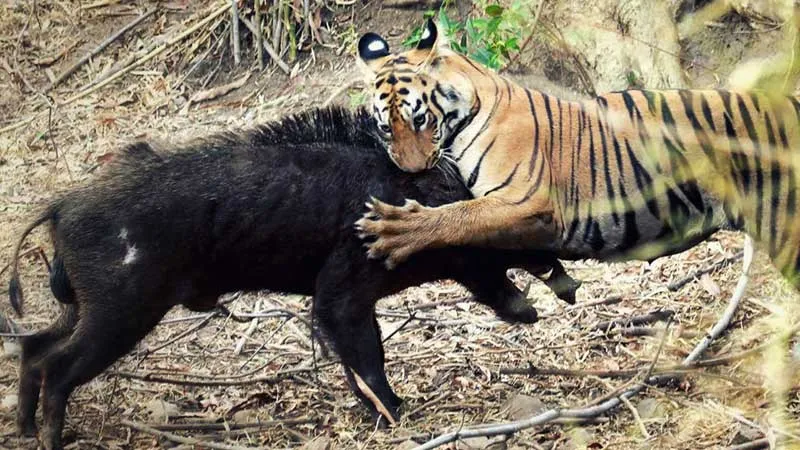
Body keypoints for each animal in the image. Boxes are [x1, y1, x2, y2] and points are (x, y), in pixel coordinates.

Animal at [353, 19, 800, 288]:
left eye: (420, 119)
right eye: (385, 127)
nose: (413, 170)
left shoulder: (528, 199)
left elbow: (459, 216)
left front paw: (396, 230)